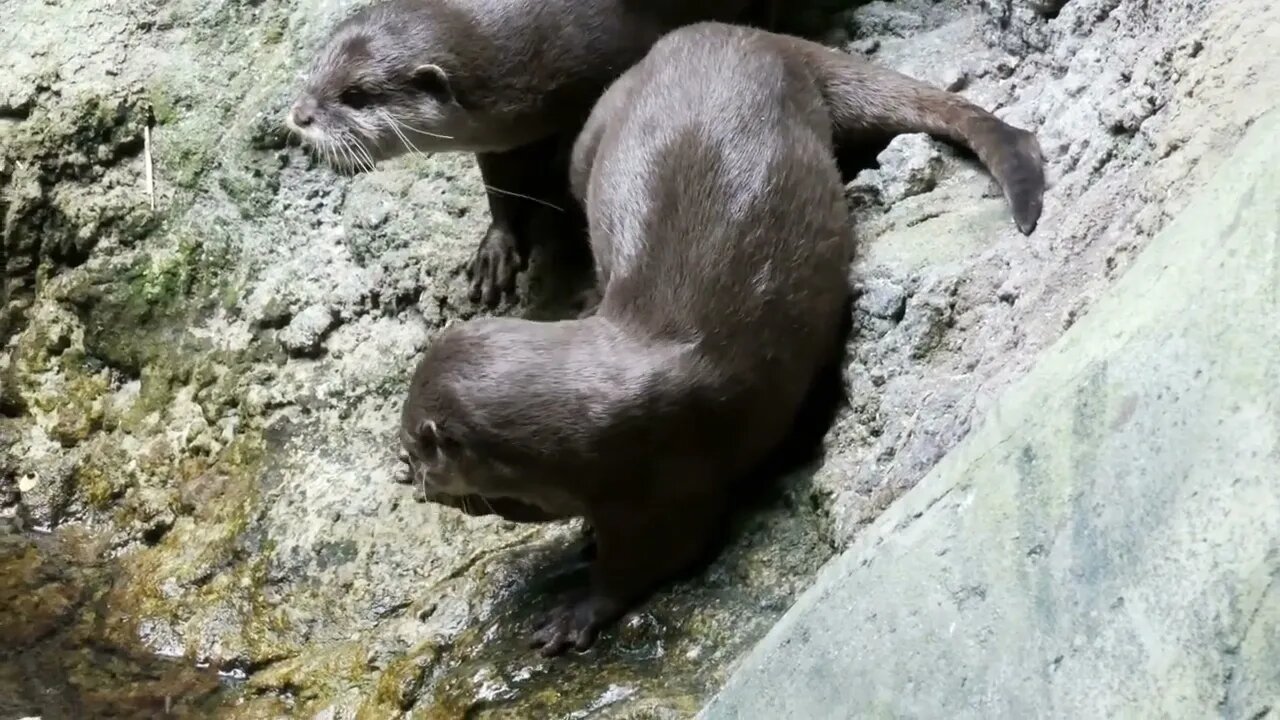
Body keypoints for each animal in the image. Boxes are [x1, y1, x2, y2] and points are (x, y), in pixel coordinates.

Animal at [288, 0, 1039, 304]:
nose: (298, 116)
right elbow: (501, 188)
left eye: (356, 94)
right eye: (315, 69)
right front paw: (496, 251)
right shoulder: (502, 131)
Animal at [399, 22, 870, 653]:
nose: (410, 463)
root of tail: (741, 34)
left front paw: (578, 610)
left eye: (413, 440)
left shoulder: (659, 483)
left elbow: (656, 557)